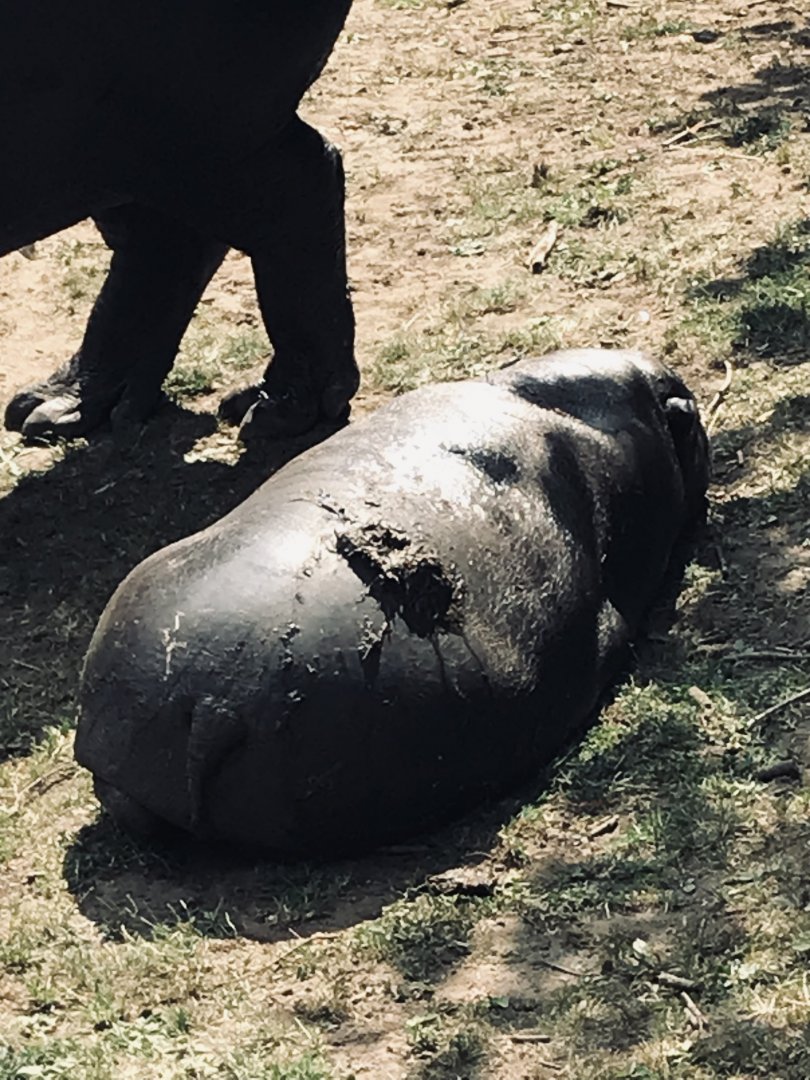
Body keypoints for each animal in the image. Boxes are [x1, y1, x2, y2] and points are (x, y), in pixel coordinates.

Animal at [2, 1, 357, 442]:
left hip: (193, 132)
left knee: (300, 190)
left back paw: (267, 412)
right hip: (128, 157)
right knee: (163, 246)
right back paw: (53, 411)